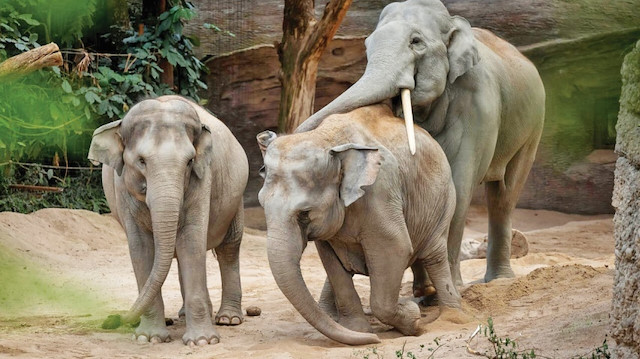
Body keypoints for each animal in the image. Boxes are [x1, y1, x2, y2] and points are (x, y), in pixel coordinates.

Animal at [89, 95, 249, 346]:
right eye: (141, 161)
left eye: (190, 161)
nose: (110, 320)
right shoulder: (121, 186)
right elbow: (141, 247)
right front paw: (149, 338)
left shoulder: (203, 178)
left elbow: (191, 240)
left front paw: (202, 341)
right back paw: (185, 315)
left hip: (236, 199)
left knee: (229, 249)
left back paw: (228, 319)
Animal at [256, 104, 460, 346]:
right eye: (262, 204)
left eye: (304, 214)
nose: (375, 340)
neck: (325, 139)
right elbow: (332, 264)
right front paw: (359, 330)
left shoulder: (380, 191)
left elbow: (395, 248)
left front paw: (413, 320)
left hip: (445, 199)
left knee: (434, 254)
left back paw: (452, 316)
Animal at [296, 0, 544, 288]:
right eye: (367, 46)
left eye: (416, 42)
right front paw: (425, 291)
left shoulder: (478, 99)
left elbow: (459, 185)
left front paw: (451, 289)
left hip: (533, 128)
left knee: (504, 196)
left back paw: (499, 281)